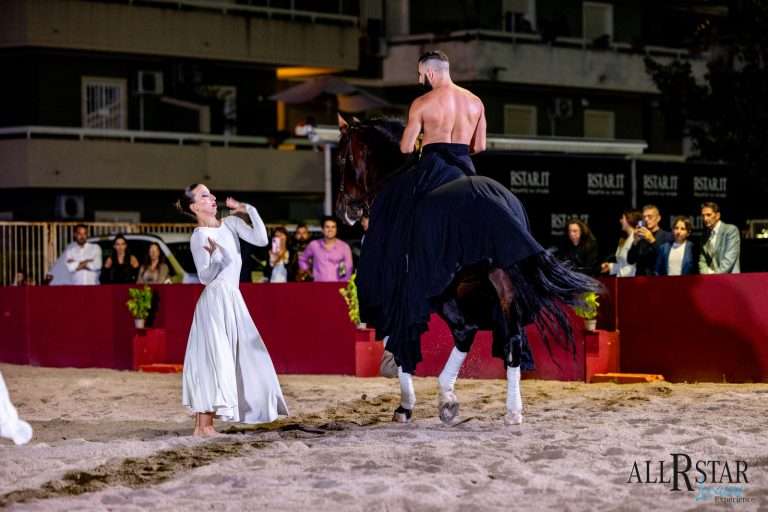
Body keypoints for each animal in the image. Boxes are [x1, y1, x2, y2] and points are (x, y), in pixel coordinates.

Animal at [335, 115, 600, 426]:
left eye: (341, 159)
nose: (344, 211)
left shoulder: (398, 289)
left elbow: (396, 333)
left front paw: (404, 402)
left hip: (449, 289)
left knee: (465, 330)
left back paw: (445, 398)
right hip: (496, 284)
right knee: (507, 337)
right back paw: (507, 409)